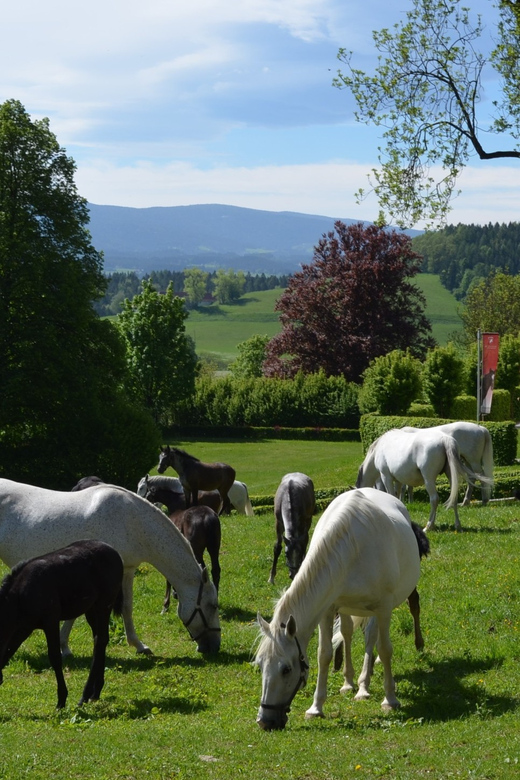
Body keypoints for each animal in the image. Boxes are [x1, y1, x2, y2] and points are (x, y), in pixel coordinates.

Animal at [0, 478, 221, 656]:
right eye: (213, 605)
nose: (215, 646)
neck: (132, 521)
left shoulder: (127, 570)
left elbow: (126, 607)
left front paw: (138, 645)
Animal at [254, 488, 420, 732]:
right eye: (260, 665)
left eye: (286, 669)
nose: (265, 721)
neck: (352, 547)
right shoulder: (328, 608)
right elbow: (324, 654)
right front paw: (316, 708)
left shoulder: (383, 608)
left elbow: (384, 649)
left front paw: (390, 700)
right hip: (347, 607)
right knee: (348, 634)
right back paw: (349, 683)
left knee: (371, 638)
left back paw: (364, 686)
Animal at [358, 426, 492, 532]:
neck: (380, 447)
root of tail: (445, 439)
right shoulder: (398, 481)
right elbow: (397, 495)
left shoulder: (386, 476)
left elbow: (392, 494)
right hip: (451, 475)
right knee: (454, 497)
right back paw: (458, 526)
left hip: (429, 479)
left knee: (434, 499)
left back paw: (429, 526)